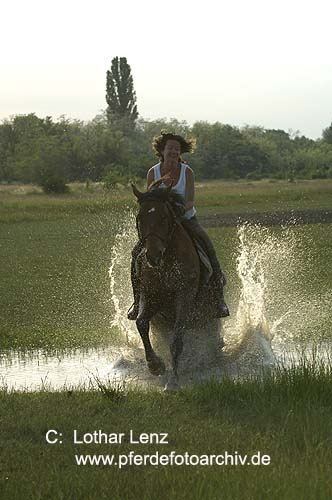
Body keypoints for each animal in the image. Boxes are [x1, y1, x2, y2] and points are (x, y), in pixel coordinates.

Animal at [132, 184, 218, 390]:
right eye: (140, 218)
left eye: (164, 217)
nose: (153, 255)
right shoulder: (150, 296)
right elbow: (141, 323)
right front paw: (155, 365)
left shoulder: (184, 298)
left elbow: (177, 338)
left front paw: (173, 381)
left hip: (206, 314)